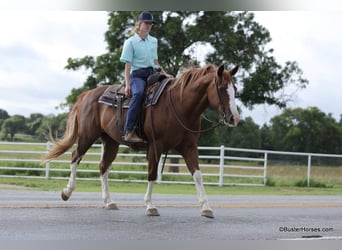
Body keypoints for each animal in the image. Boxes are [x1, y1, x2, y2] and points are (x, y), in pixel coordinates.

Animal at [42, 63, 239, 219]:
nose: (234, 118)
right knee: (75, 157)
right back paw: (67, 192)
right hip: (86, 136)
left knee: (103, 167)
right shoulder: (156, 145)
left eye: (235, 90)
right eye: (222, 88)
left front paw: (206, 208)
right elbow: (151, 173)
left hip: (111, 142)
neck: (179, 104)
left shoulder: (189, 146)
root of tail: (88, 94)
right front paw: (150, 206)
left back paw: (109, 202)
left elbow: (197, 175)